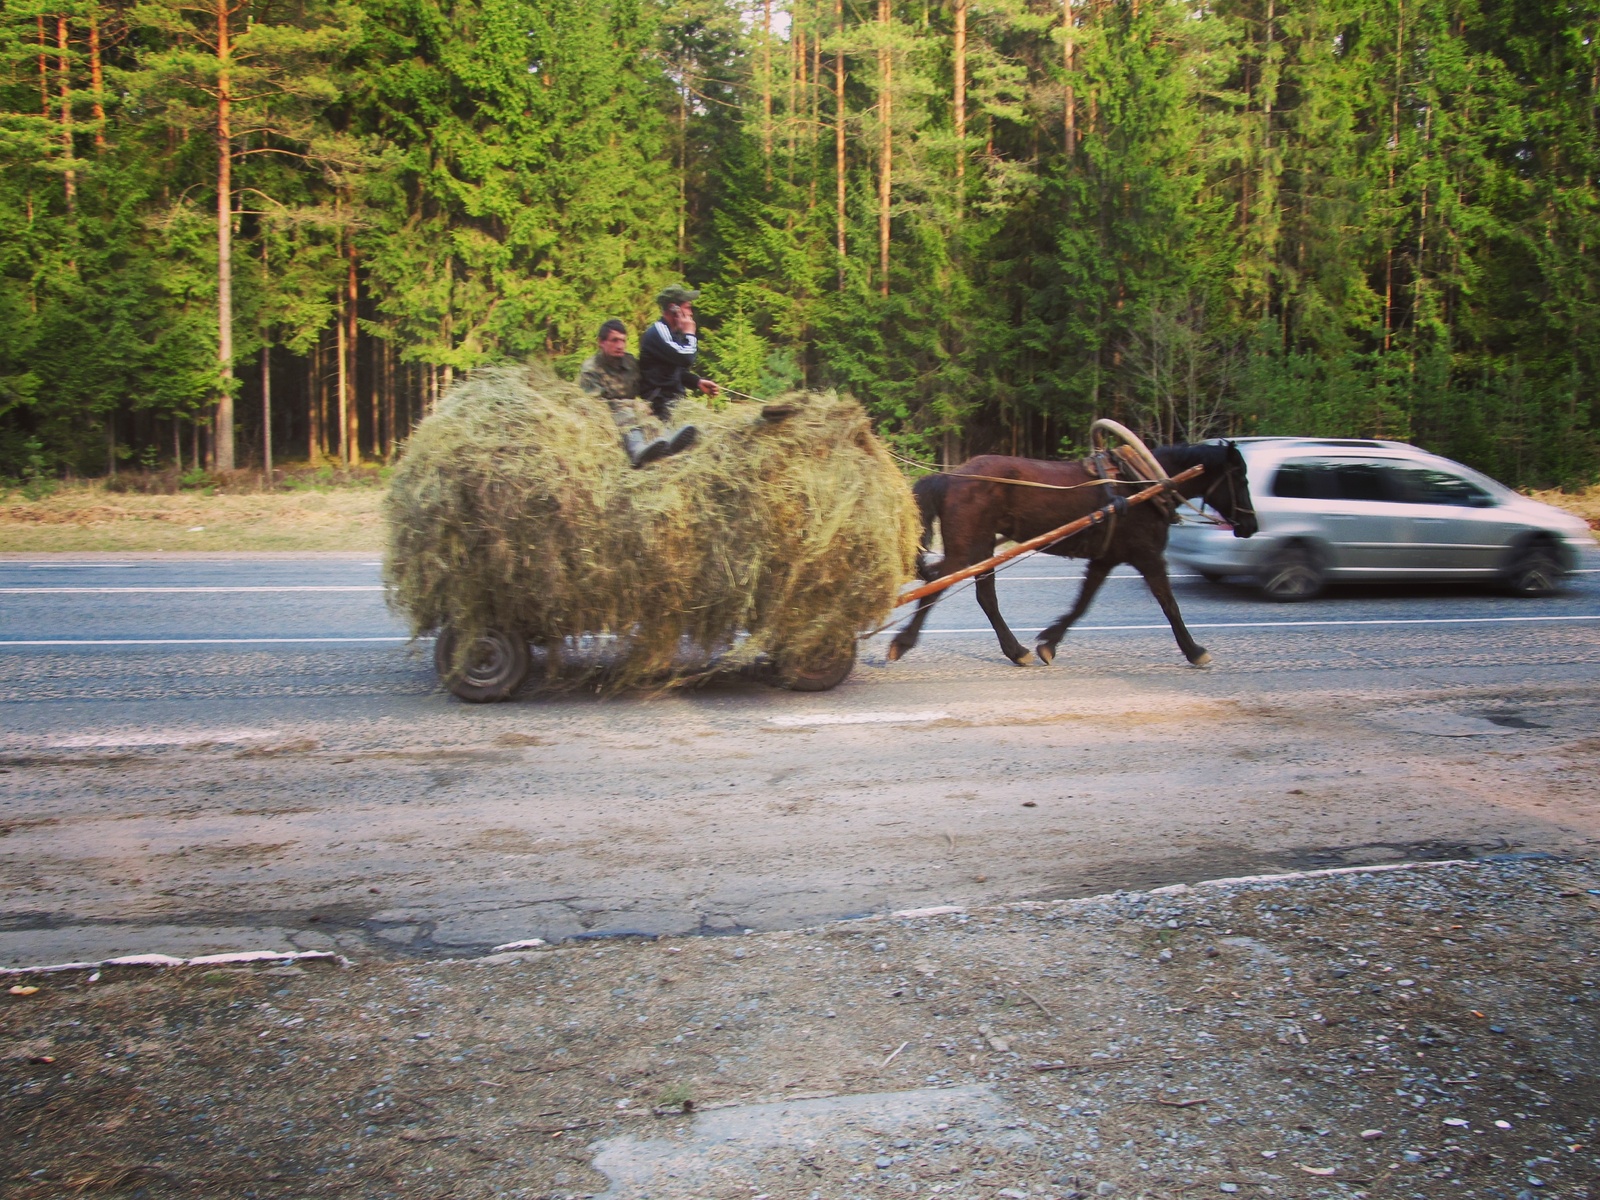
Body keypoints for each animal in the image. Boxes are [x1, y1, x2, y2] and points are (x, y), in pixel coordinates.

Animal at [883, 441, 1254, 668]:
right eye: (1240, 477)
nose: (1249, 525)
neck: (1142, 485)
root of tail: (951, 476)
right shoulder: (1148, 555)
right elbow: (1170, 605)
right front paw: (1195, 651)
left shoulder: (1106, 558)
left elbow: (1083, 603)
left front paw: (1049, 642)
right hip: (969, 547)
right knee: (940, 584)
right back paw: (903, 642)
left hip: (981, 547)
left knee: (980, 594)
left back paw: (1016, 651)